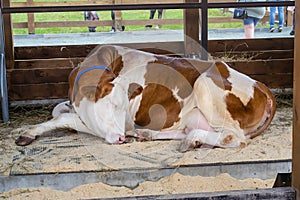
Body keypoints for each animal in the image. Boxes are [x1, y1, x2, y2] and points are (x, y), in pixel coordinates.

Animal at [14, 45, 276, 152]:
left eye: (120, 107)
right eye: (112, 105)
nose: (121, 138)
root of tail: (262, 86)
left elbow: (63, 118)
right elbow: (58, 111)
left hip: (205, 84)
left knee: (234, 138)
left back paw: (190, 140)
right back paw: (151, 135)